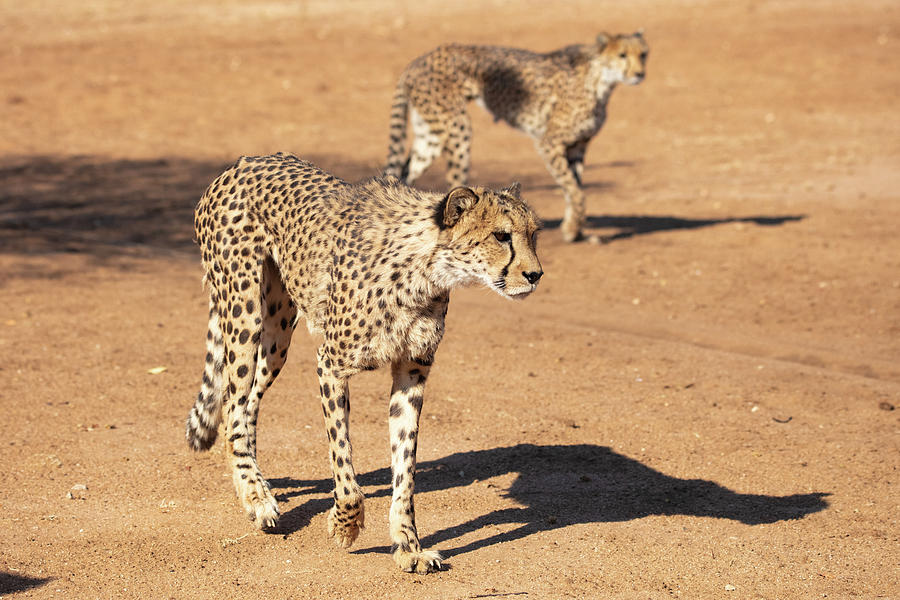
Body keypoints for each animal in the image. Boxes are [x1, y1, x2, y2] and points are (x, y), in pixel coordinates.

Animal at [183, 152, 540, 576]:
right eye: (501, 236)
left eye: (533, 234)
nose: (535, 274)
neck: (426, 267)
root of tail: (244, 162)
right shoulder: (330, 365)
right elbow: (343, 460)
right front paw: (345, 525)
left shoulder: (412, 372)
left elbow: (405, 469)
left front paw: (409, 546)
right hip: (244, 313)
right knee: (234, 407)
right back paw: (256, 498)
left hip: (278, 332)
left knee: (246, 404)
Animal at [384, 31, 648, 243]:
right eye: (622, 55)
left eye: (643, 54)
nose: (639, 74)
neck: (601, 78)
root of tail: (417, 61)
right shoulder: (548, 143)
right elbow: (575, 189)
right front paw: (572, 230)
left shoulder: (577, 147)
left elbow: (575, 188)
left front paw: (576, 230)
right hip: (457, 129)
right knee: (454, 186)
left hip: (430, 137)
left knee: (403, 175)